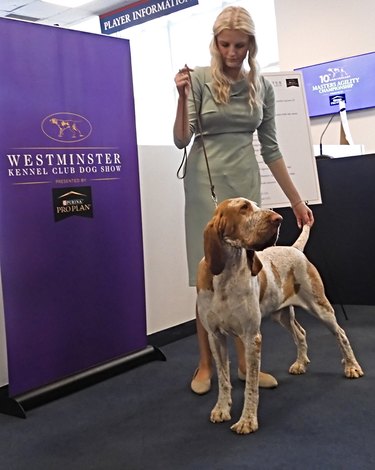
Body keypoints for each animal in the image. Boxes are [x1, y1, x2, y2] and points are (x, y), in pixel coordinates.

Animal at [197, 196, 364, 436]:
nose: (279, 219)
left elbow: (251, 386)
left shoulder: (252, 337)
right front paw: (221, 409)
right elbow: (223, 379)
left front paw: (247, 420)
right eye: (244, 208)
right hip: (282, 315)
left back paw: (351, 366)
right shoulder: (215, 337)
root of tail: (295, 250)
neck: (226, 276)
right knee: (301, 333)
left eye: (257, 205)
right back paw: (301, 363)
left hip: (321, 308)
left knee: (340, 333)